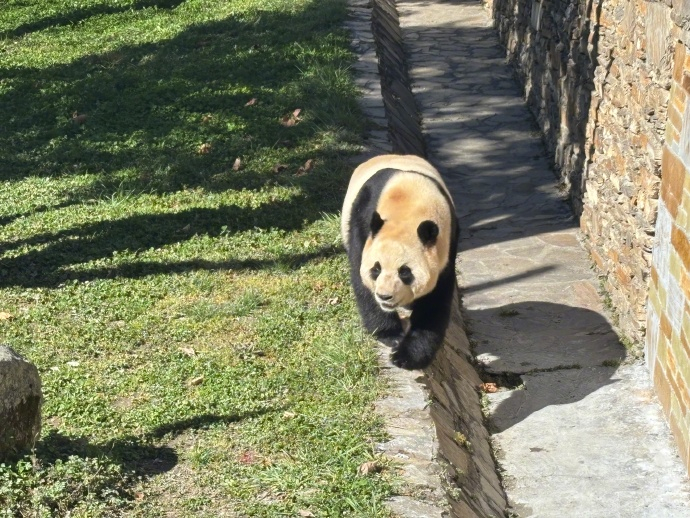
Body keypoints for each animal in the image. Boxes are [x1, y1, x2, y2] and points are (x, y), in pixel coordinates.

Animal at [340, 154, 456, 370]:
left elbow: (435, 300)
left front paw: (406, 356)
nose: (385, 296)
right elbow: (361, 280)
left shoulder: (446, 245)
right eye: (376, 269)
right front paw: (391, 335)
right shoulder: (364, 225)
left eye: (405, 272)